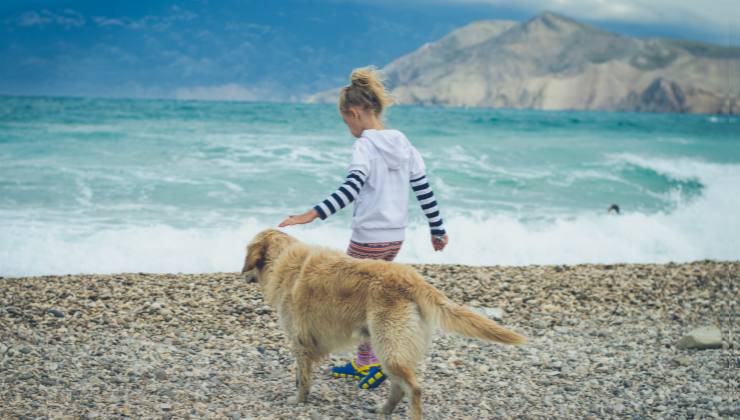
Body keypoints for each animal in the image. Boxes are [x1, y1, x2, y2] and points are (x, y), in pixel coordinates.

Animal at [243, 230, 528, 420]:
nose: (242, 274)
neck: (282, 260)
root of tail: (413, 279)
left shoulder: (300, 341)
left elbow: (302, 379)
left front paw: (298, 400)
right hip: (390, 347)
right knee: (400, 386)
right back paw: (384, 410)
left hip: (389, 345)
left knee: (413, 388)